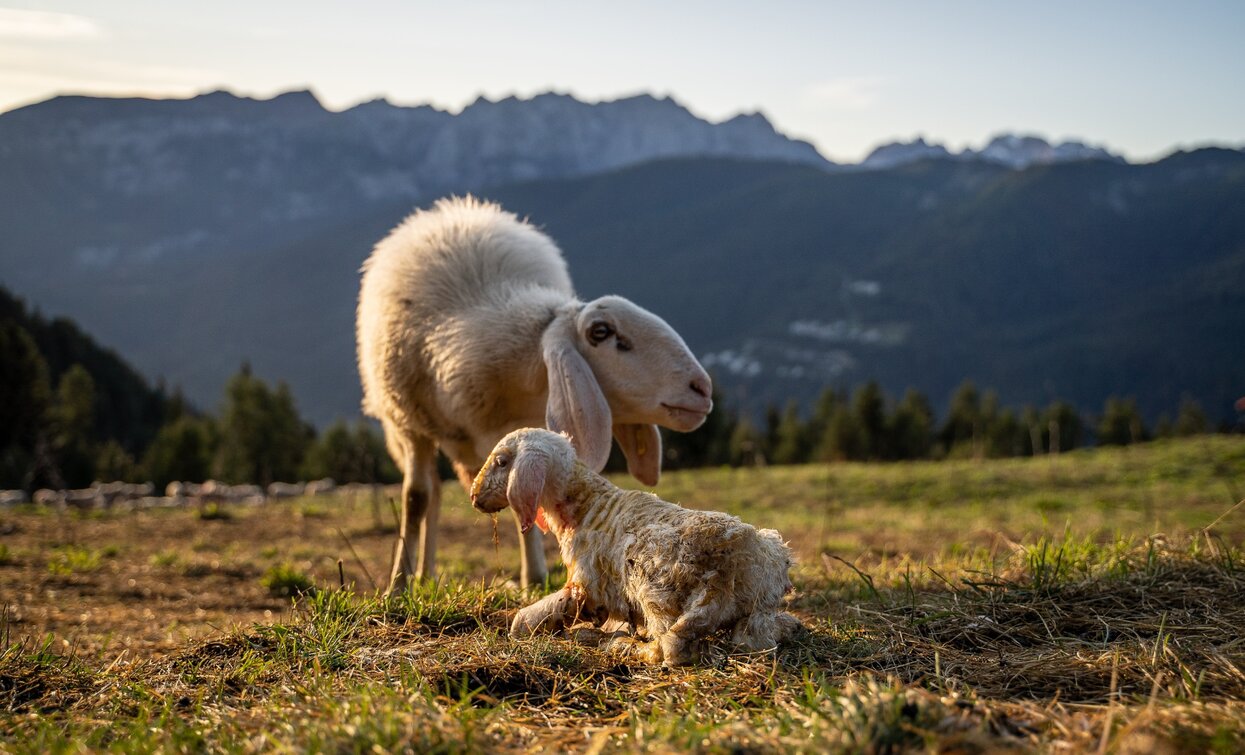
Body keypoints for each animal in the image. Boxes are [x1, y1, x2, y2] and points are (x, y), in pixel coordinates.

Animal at [356, 196, 713, 592]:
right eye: (601, 332)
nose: (702, 389)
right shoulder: (409, 425)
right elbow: (415, 499)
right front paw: (397, 585)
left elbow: (524, 492)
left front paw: (535, 578)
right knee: (430, 493)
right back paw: (420, 574)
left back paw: (428, 573)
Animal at [470, 428, 803, 666]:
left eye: (501, 461)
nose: (474, 497)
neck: (586, 505)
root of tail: (730, 570)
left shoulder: (585, 583)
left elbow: (535, 615)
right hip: (759, 599)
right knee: (753, 639)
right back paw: (788, 625)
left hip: (652, 580)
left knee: (668, 649)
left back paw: (620, 645)